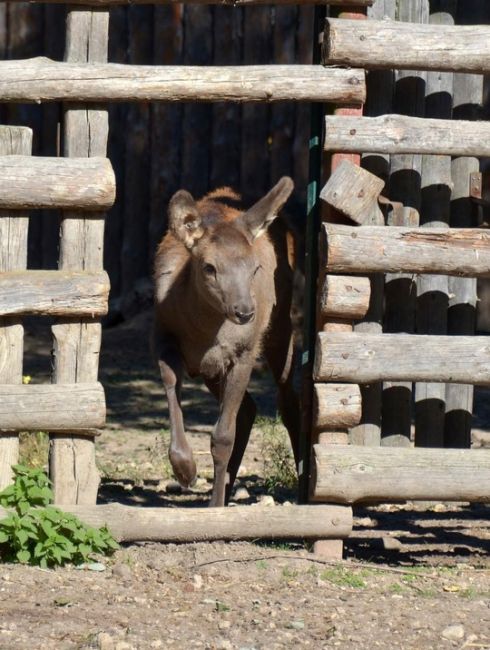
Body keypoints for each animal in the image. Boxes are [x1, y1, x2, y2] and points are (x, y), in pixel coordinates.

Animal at [153, 177, 298, 506]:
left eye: (255, 267)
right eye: (209, 267)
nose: (244, 310)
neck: (202, 331)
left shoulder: (244, 352)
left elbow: (222, 437)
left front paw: (216, 505)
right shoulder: (162, 333)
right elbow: (170, 385)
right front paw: (185, 470)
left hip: (280, 324)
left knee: (288, 399)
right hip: (211, 369)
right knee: (249, 408)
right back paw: (229, 483)